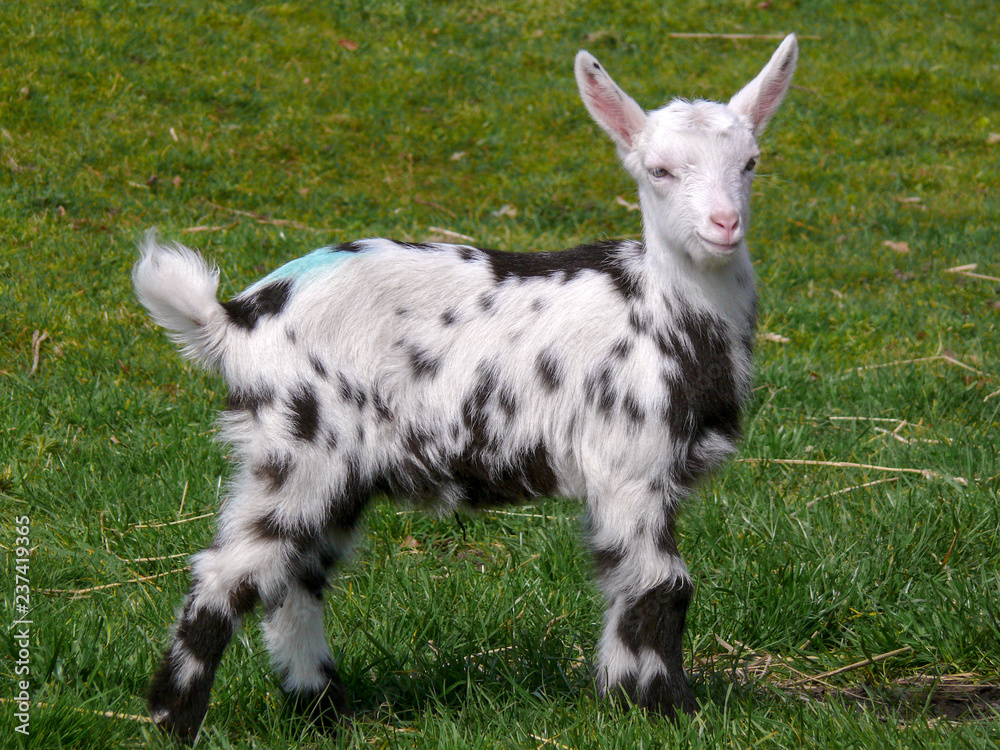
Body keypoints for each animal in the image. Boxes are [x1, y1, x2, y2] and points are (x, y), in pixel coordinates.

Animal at [133, 35, 797, 741]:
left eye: (751, 163)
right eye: (659, 170)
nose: (724, 224)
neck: (659, 311)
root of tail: (235, 319)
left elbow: (625, 586)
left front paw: (623, 702)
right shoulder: (631, 465)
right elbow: (662, 587)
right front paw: (672, 714)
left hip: (331, 472)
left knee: (296, 582)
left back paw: (323, 711)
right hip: (299, 452)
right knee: (225, 576)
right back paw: (172, 721)